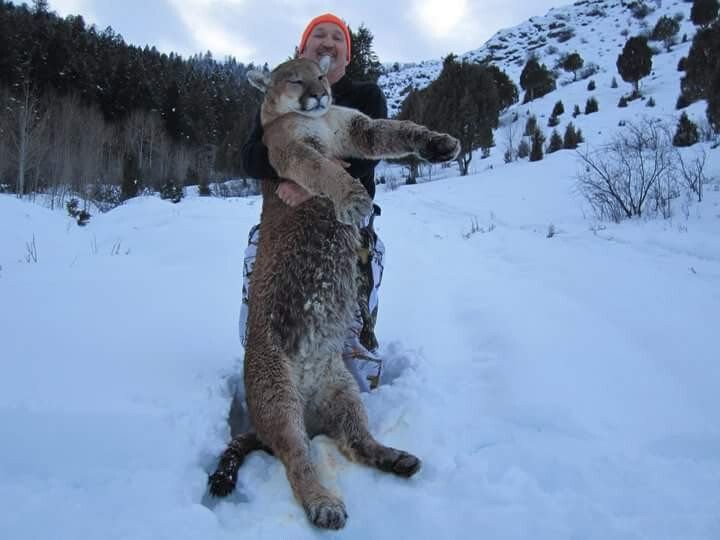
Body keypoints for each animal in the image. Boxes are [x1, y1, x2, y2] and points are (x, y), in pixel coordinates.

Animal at [208, 57, 460, 530]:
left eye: (321, 74)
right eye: (294, 78)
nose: (321, 94)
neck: (317, 119)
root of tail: (307, 405)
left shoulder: (358, 130)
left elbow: (398, 130)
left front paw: (439, 144)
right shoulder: (293, 153)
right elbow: (325, 170)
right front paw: (352, 198)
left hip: (343, 392)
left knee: (355, 441)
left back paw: (395, 458)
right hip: (277, 395)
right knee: (296, 459)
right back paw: (323, 504)